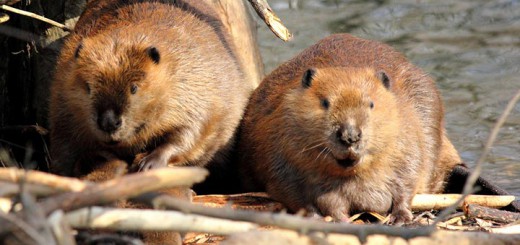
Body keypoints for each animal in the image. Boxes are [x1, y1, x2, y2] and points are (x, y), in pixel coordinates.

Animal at [48, 0, 252, 177]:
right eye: (88, 87)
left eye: (134, 88)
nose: (109, 122)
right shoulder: (62, 95)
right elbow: (64, 147)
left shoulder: (198, 84)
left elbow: (192, 130)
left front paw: (148, 163)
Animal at [238, 33, 462, 225]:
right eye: (325, 103)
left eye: (371, 104)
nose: (350, 136)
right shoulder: (279, 143)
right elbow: (299, 193)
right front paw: (330, 217)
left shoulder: (408, 135)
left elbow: (409, 177)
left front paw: (401, 216)